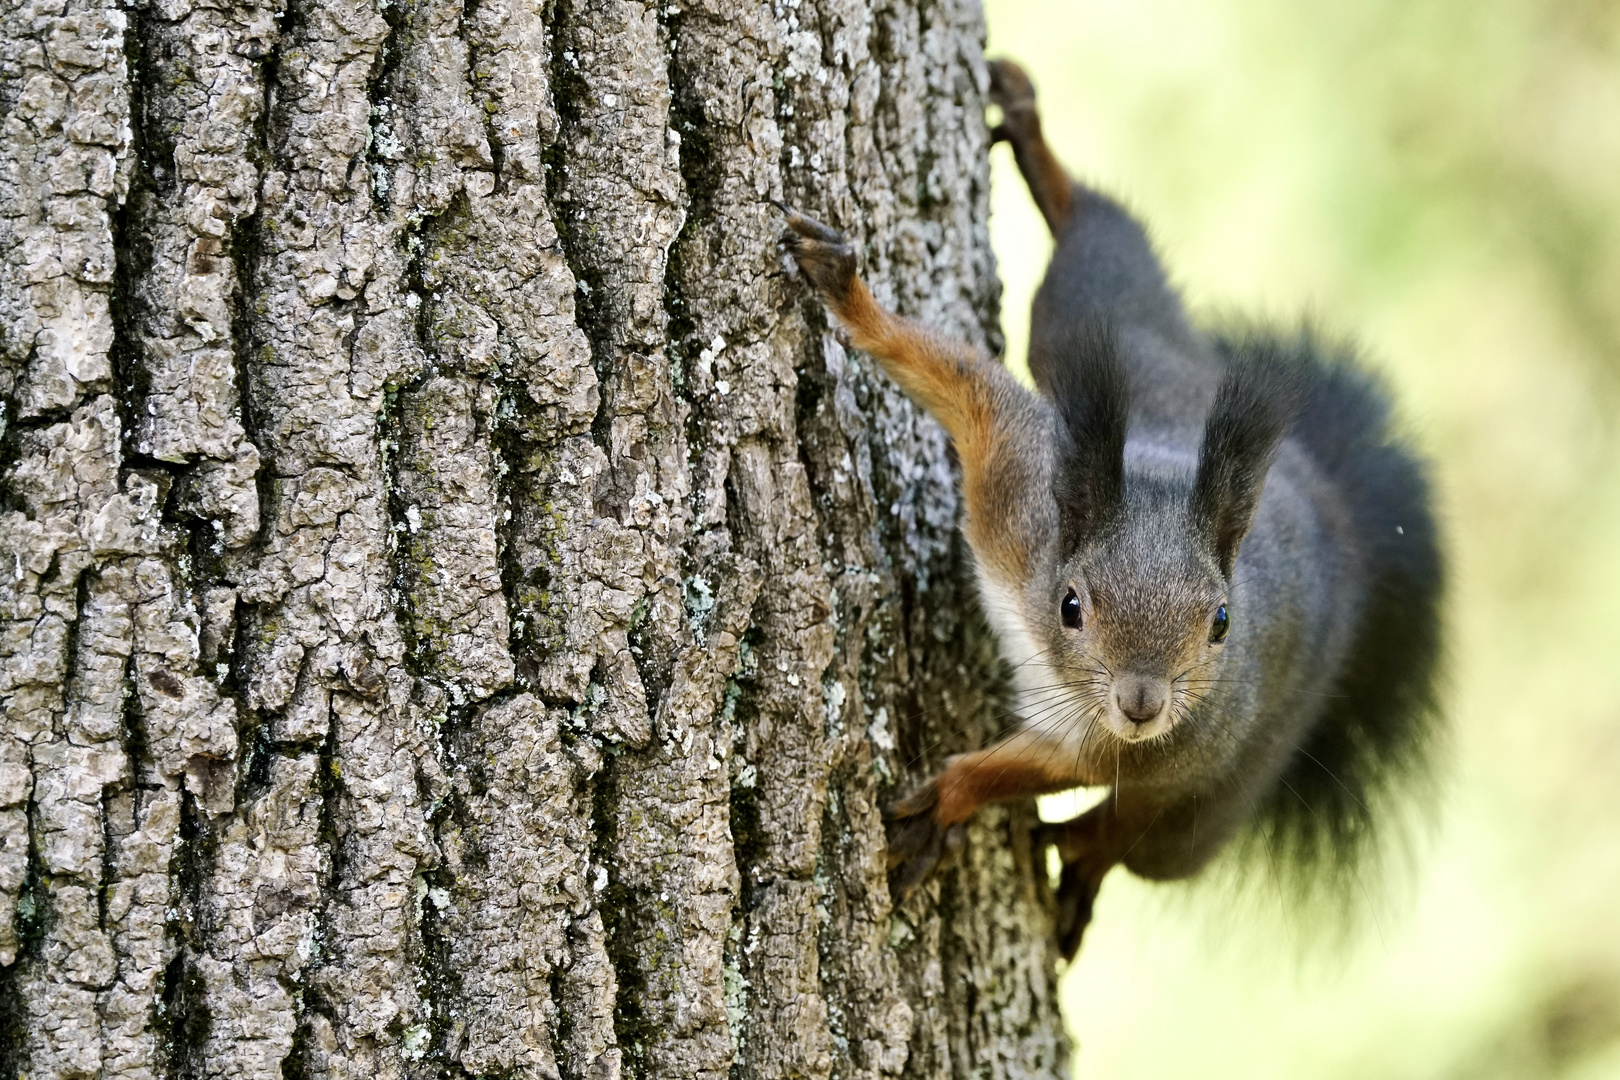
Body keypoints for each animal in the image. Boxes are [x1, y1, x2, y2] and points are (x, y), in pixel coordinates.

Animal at [780, 59, 1445, 958]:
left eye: (1222, 624)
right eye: (1071, 606)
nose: (1141, 703)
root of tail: (1331, 512)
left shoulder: (1137, 744)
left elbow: (1032, 768)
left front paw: (949, 800)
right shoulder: (1016, 477)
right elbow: (951, 375)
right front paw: (849, 296)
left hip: (1214, 797)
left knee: (1137, 843)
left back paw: (1080, 863)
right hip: (1111, 336)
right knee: (1102, 259)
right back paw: (1037, 146)